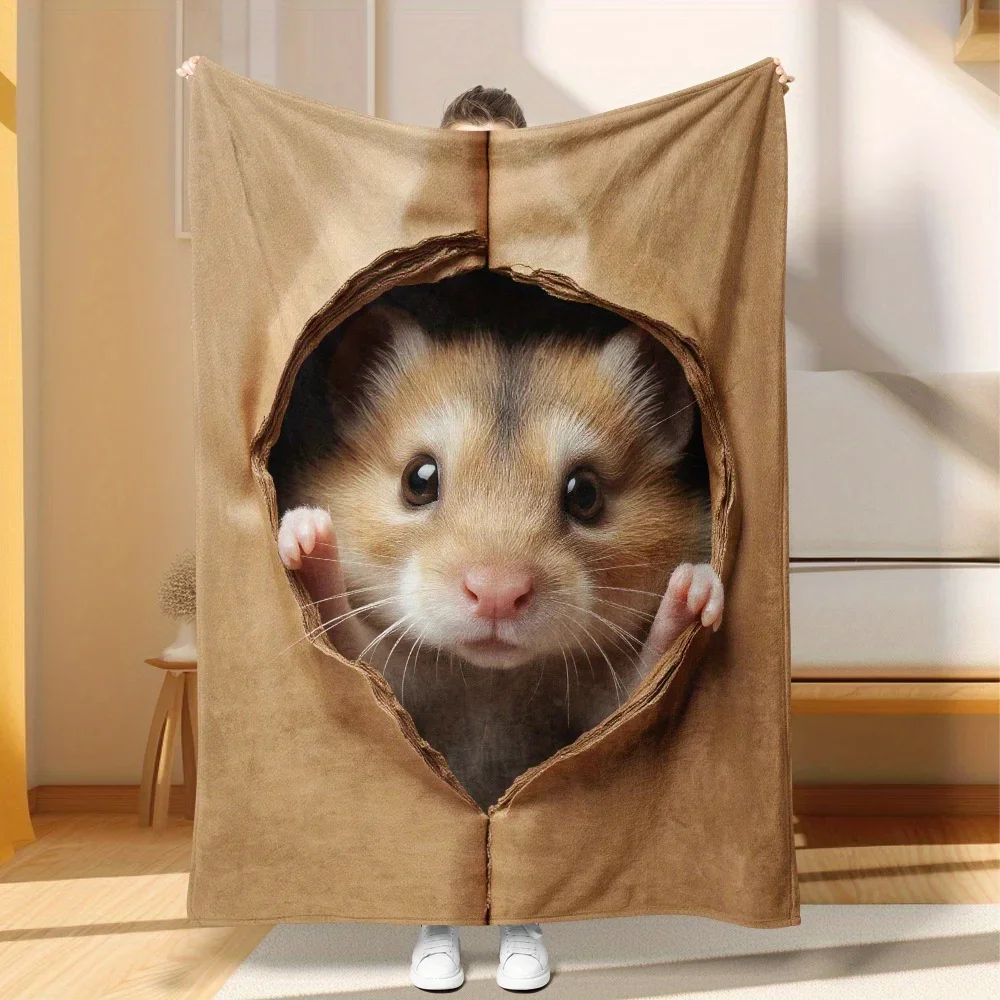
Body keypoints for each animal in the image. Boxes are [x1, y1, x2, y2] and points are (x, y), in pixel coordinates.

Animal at [275, 302, 722, 809]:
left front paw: (698, 589)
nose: (496, 597)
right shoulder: (386, 681)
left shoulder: (603, 714)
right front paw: (304, 531)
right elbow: (345, 636)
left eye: (585, 493)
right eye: (418, 479)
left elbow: (643, 679)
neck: (492, 678)